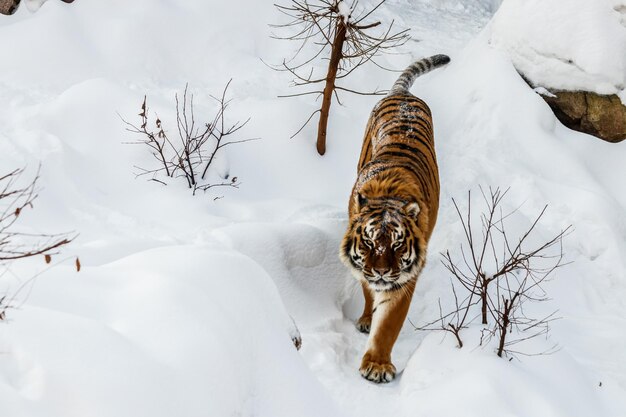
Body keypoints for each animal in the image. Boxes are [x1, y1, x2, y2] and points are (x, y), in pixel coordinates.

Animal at [338, 53, 446, 382]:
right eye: (369, 243)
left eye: (398, 244)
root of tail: (404, 95)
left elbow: (388, 325)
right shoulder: (364, 266)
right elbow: (368, 292)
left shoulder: (404, 278)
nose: (383, 272)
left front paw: (377, 365)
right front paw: (367, 320)